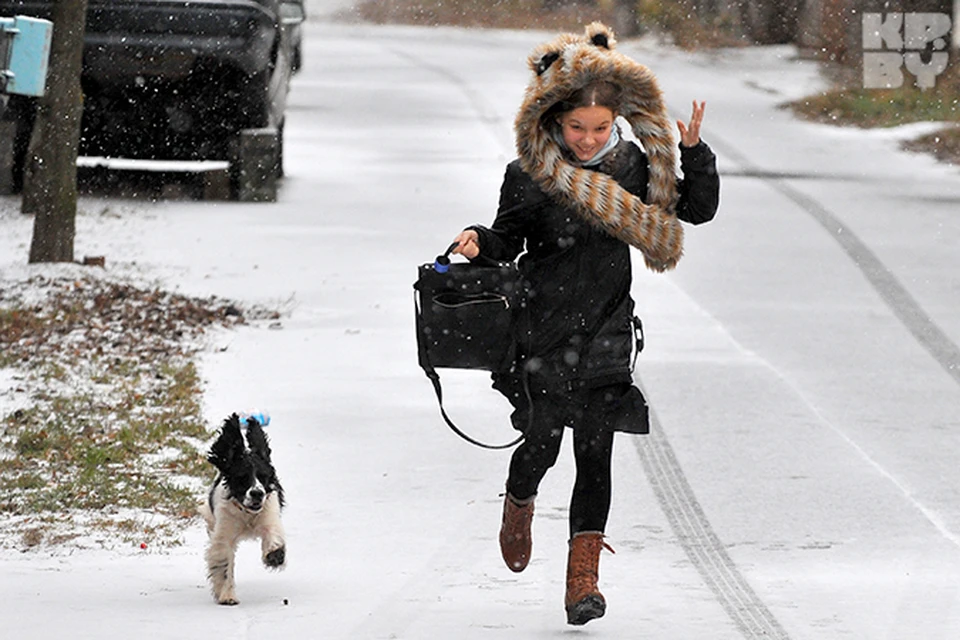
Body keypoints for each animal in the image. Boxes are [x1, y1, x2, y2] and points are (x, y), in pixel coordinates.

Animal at [197, 416, 284, 604]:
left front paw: (275, 556)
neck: (247, 513)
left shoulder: (269, 514)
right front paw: (227, 596)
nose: (257, 493)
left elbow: (273, 535)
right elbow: (223, 563)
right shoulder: (224, 532)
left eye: (263, 477)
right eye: (242, 478)